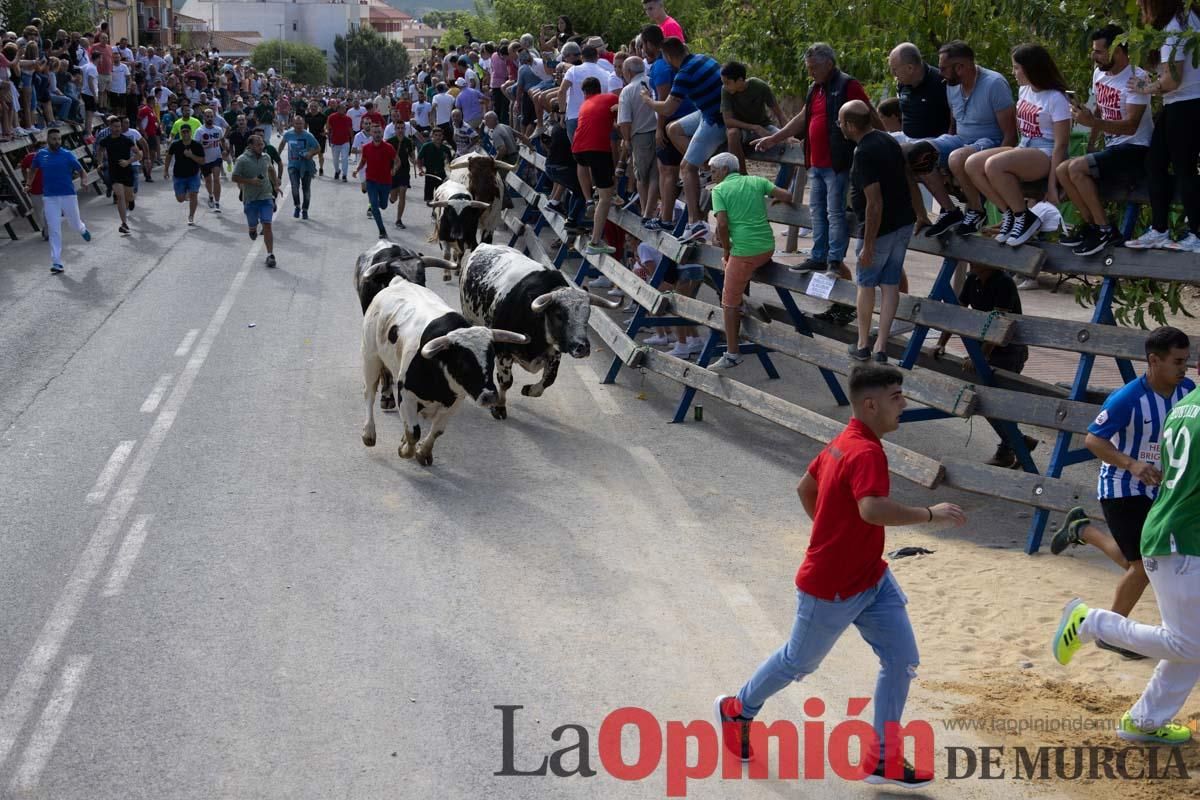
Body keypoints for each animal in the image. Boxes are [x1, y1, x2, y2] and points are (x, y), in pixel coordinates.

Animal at [357, 277, 523, 465]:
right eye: (463, 363)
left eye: (491, 358)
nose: (489, 396)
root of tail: (398, 282)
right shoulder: (405, 394)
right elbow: (414, 432)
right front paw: (405, 450)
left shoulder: (455, 400)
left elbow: (437, 430)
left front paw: (423, 452)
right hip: (370, 357)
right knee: (369, 393)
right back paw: (369, 433)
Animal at [453, 245, 614, 422]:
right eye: (559, 314)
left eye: (588, 315)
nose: (582, 347)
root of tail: (484, 246)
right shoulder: (503, 352)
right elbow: (506, 382)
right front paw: (499, 407)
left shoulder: (554, 353)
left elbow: (549, 380)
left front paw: (529, 390)